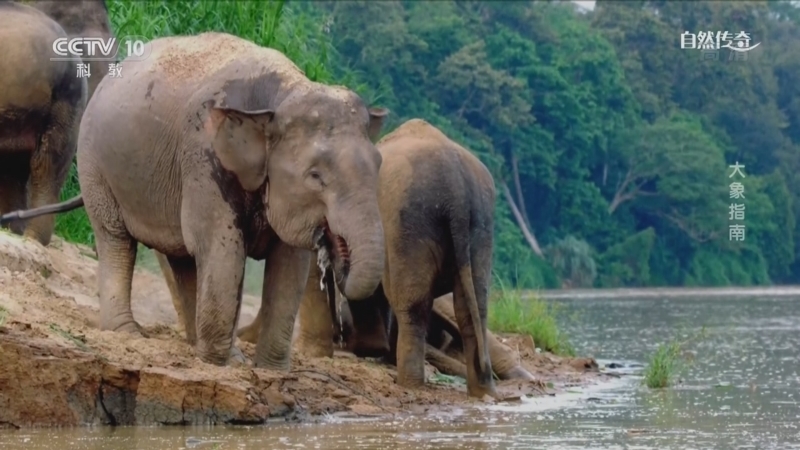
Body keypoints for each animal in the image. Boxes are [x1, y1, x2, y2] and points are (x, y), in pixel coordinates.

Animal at [6, 31, 389, 369]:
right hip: (93, 161)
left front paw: (269, 369)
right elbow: (221, 244)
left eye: (378, 165)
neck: (283, 91)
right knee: (116, 239)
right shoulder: (203, 155)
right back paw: (130, 333)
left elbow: (289, 263)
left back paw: (198, 344)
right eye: (316, 176)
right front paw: (216, 364)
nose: (333, 247)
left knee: (182, 258)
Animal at [239, 118, 498, 398]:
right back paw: (482, 391)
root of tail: (457, 191)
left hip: (408, 223)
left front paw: (314, 351)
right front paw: (370, 348)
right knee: (473, 306)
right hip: (480, 225)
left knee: (412, 304)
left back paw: (408, 382)